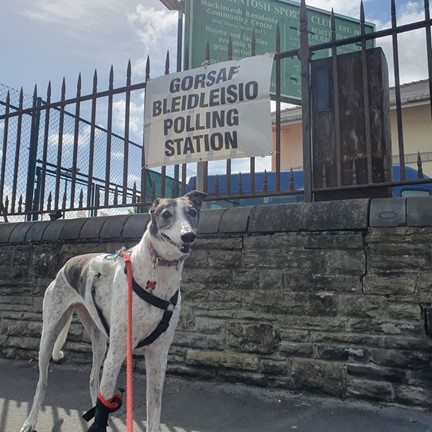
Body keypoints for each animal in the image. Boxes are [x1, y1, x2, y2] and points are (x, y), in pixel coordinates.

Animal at [21, 192, 207, 432]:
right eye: (166, 214)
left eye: (192, 212)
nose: (188, 236)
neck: (156, 277)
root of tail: (66, 266)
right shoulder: (117, 353)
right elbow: (104, 403)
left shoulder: (158, 356)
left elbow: (154, 409)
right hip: (50, 335)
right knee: (42, 382)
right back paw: (31, 420)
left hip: (99, 340)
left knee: (93, 380)